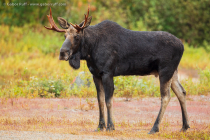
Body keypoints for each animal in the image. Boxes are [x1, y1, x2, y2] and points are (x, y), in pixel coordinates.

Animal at [44, 7, 190, 133]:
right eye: (64, 36)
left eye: (77, 37)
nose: (63, 53)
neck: (90, 50)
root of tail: (182, 46)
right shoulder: (95, 74)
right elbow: (100, 100)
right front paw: (100, 126)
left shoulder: (108, 73)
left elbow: (108, 100)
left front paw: (110, 126)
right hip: (173, 72)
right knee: (181, 92)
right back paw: (185, 126)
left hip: (165, 70)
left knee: (166, 97)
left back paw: (155, 128)